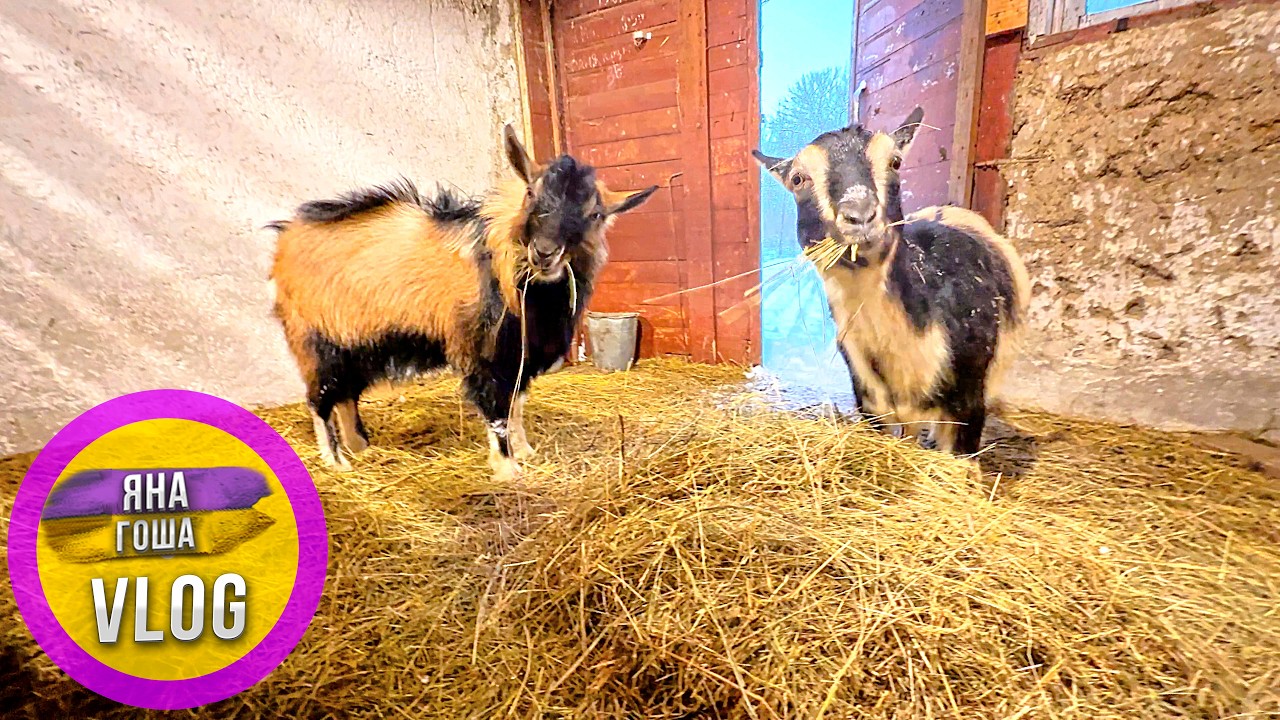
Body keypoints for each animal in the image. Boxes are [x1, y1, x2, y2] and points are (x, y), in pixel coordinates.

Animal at [268, 125, 657, 478]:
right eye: (532, 192)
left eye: (595, 214)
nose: (544, 253)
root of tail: (286, 240)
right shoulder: (483, 352)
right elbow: (497, 411)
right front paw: (507, 470)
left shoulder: (520, 354)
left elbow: (516, 404)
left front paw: (525, 452)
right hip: (315, 340)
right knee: (319, 399)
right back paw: (336, 461)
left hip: (357, 343)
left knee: (346, 396)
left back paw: (360, 447)